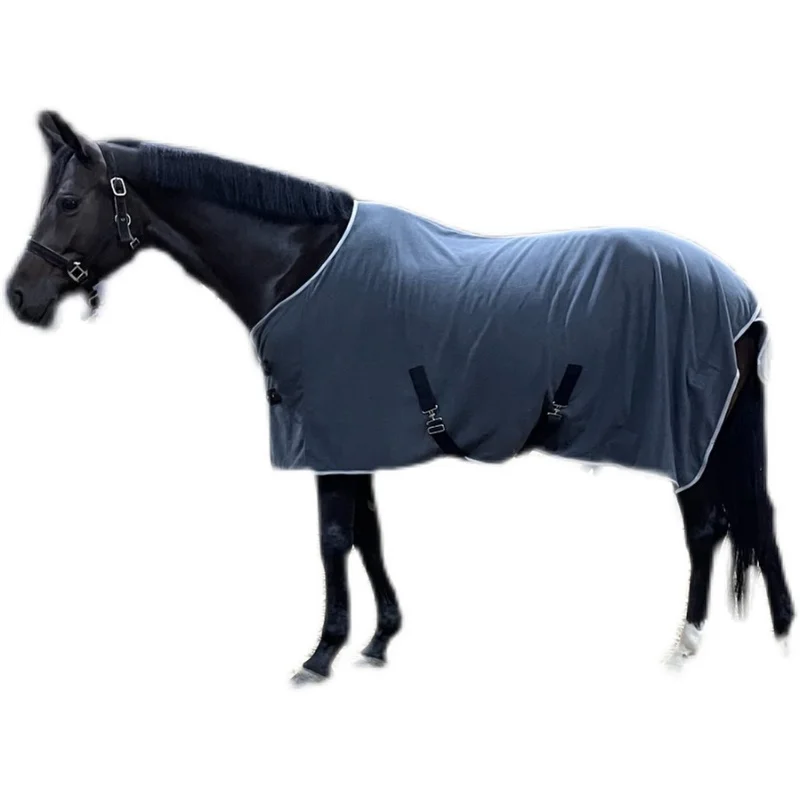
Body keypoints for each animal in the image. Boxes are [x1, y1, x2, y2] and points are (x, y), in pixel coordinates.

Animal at [6, 111, 794, 682]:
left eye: (68, 201)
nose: (20, 297)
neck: (299, 265)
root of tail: (737, 295)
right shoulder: (356, 441)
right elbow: (368, 534)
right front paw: (379, 640)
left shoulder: (330, 440)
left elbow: (333, 539)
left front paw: (320, 654)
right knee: (750, 517)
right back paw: (776, 635)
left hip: (686, 437)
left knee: (706, 528)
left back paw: (685, 644)